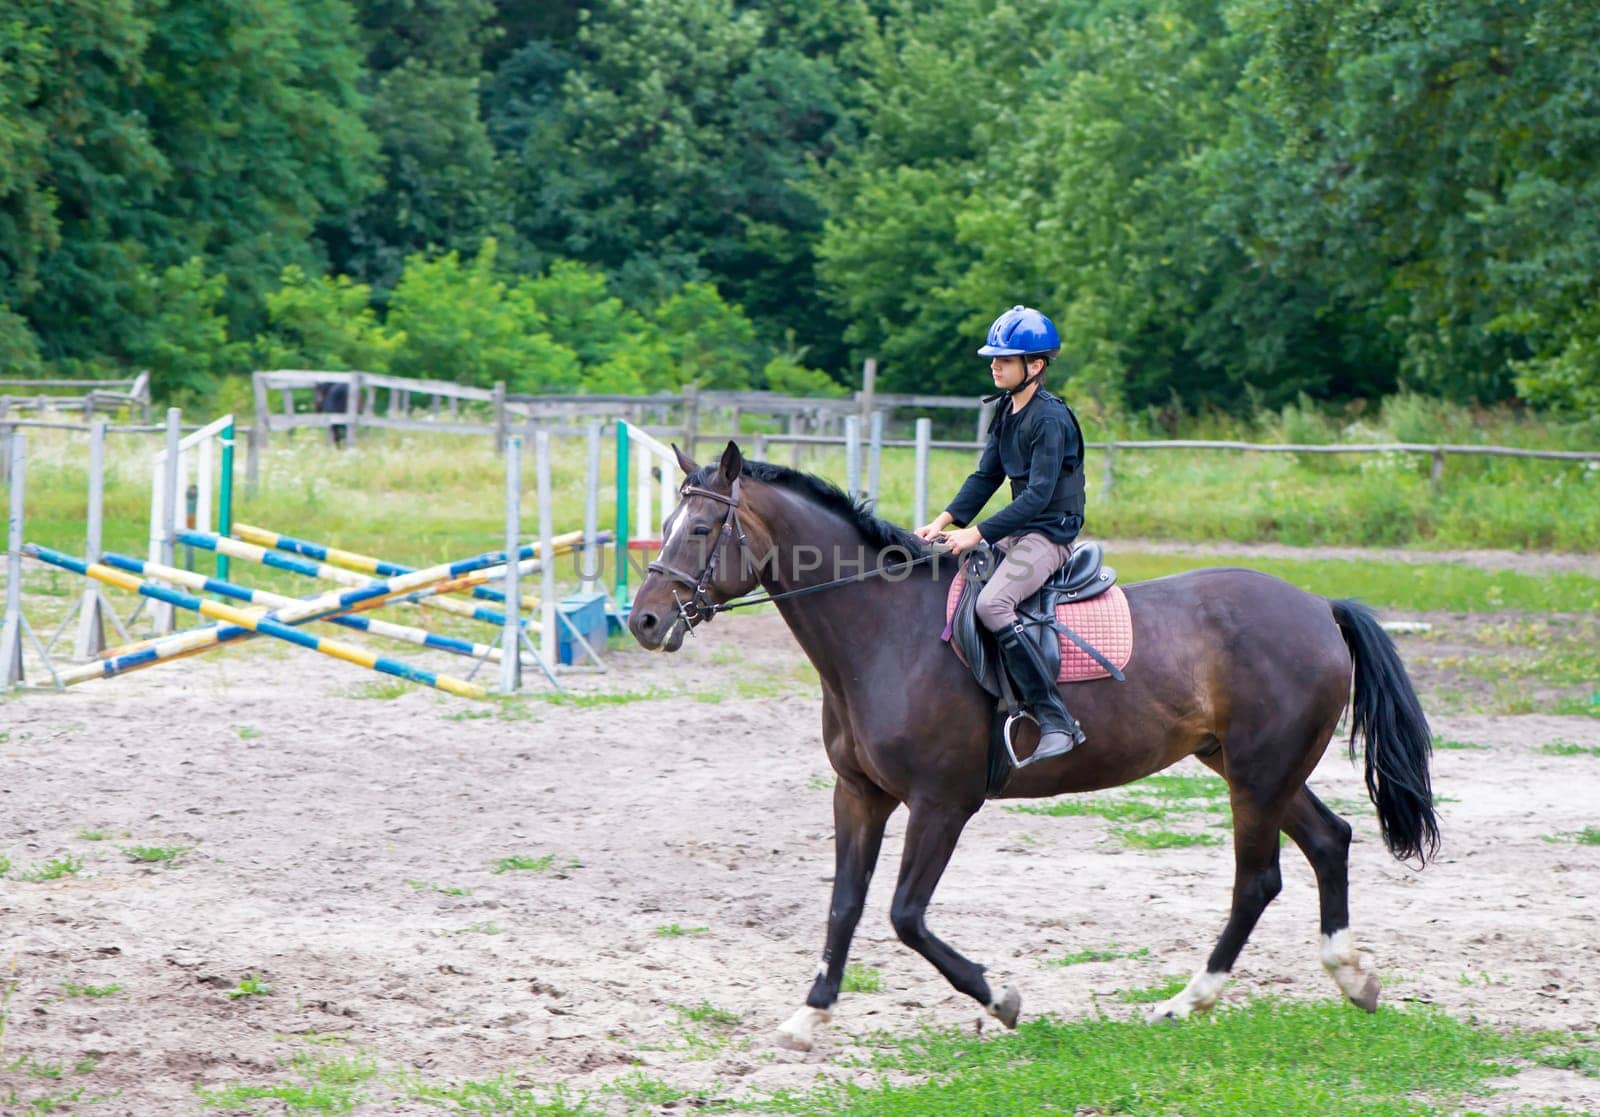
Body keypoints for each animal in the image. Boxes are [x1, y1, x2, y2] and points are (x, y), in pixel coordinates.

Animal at [624, 438, 1440, 1049]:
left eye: (700, 530)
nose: (644, 621)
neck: (884, 631)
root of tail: (1317, 607)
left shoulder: (942, 803)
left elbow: (904, 915)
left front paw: (1002, 998)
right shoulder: (859, 795)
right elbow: (845, 903)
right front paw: (810, 1012)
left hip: (1257, 775)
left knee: (1257, 880)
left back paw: (1188, 1000)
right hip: (1253, 768)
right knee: (1328, 840)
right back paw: (1352, 977)